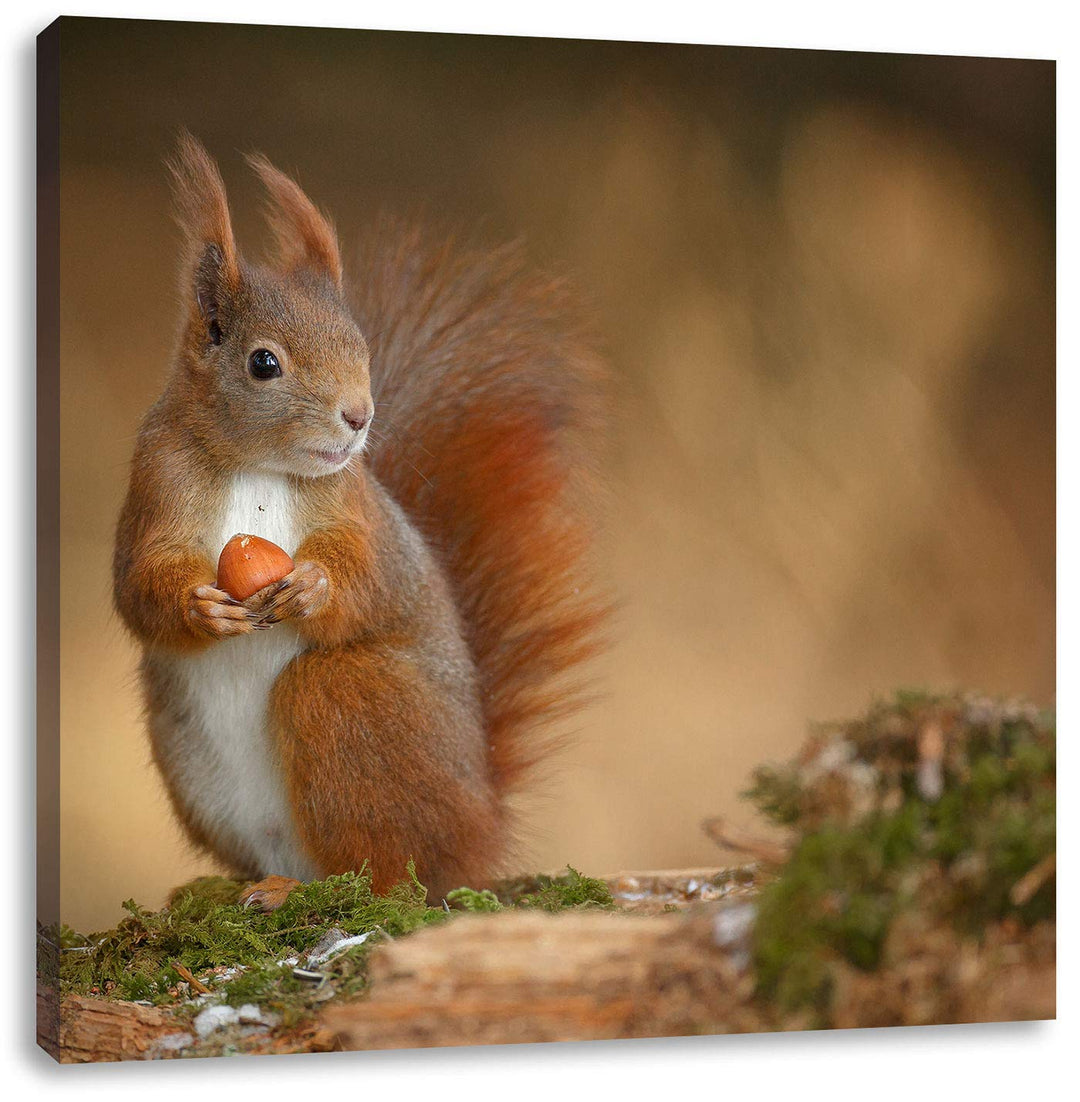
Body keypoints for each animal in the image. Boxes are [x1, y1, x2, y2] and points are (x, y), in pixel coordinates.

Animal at [112, 133, 608, 909]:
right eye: (263, 363)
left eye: (361, 345)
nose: (359, 415)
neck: (256, 466)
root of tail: (479, 830)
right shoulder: (156, 483)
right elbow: (138, 585)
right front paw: (199, 607)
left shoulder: (358, 509)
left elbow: (367, 575)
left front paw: (315, 586)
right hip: (190, 758)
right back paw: (251, 888)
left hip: (352, 702)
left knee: (385, 870)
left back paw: (311, 890)